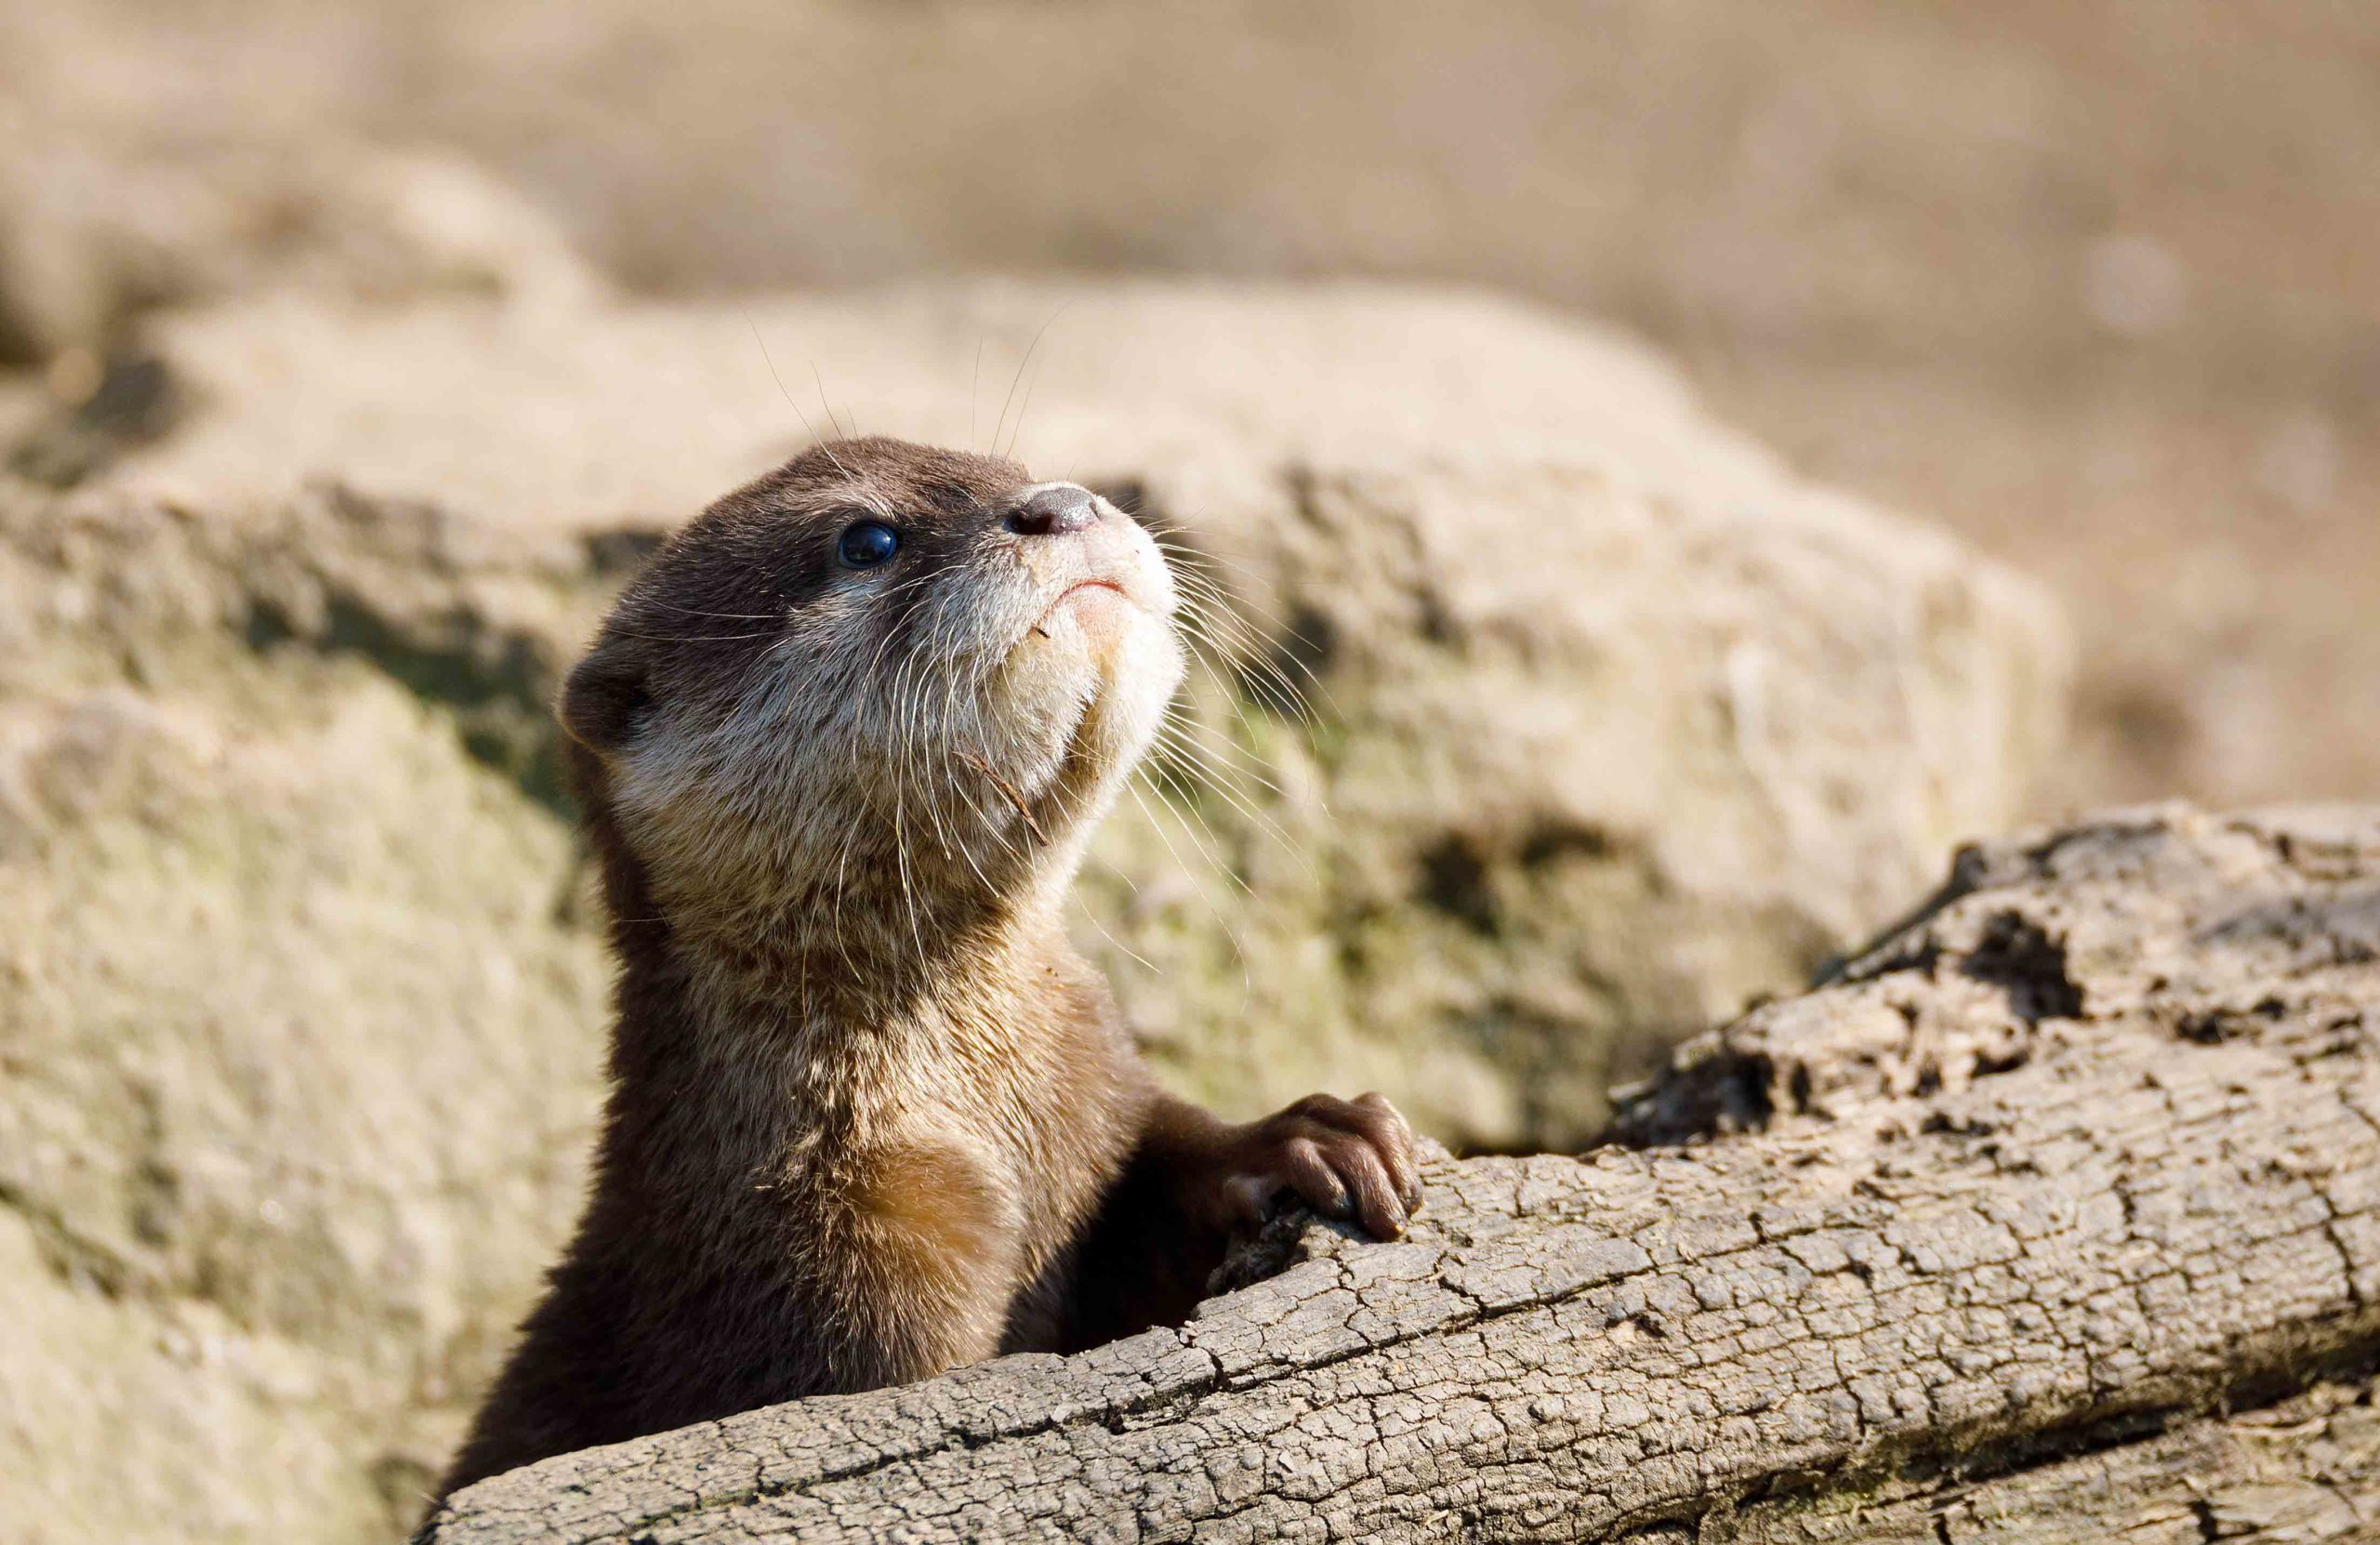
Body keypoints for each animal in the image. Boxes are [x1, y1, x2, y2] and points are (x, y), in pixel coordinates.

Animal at [432, 438, 1418, 1502]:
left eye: (1015, 467)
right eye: (868, 539)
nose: (1063, 504)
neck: (981, 1118)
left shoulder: (1096, 1088)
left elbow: (1166, 1152)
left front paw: (1314, 1136)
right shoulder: (832, 1262)